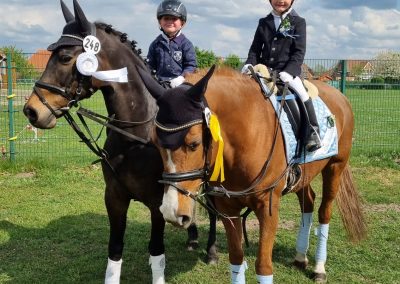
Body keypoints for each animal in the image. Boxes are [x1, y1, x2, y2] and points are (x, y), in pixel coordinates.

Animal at [22, 1, 219, 282]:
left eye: (65, 58)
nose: (31, 111)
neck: (134, 138)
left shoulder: (156, 202)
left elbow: (156, 250)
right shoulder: (114, 197)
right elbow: (115, 250)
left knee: (213, 211)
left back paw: (211, 251)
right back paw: (191, 237)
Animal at [139, 65, 368, 284]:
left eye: (193, 144)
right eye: (155, 143)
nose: (171, 212)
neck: (246, 136)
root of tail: (339, 96)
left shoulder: (267, 207)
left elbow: (263, 266)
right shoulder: (228, 209)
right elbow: (236, 259)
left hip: (335, 168)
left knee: (324, 212)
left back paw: (319, 269)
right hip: (303, 176)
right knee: (308, 202)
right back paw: (300, 257)